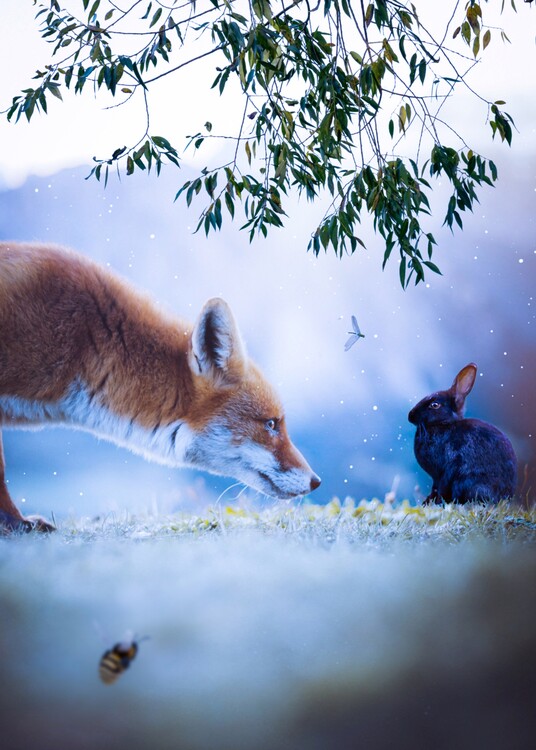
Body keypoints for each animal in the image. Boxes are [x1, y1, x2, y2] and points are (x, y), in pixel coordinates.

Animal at [408, 363, 517, 504]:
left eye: (435, 405)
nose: (410, 416)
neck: (444, 424)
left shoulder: (445, 471)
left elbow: (440, 488)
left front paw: (434, 503)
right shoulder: (437, 478)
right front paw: (427, 502)